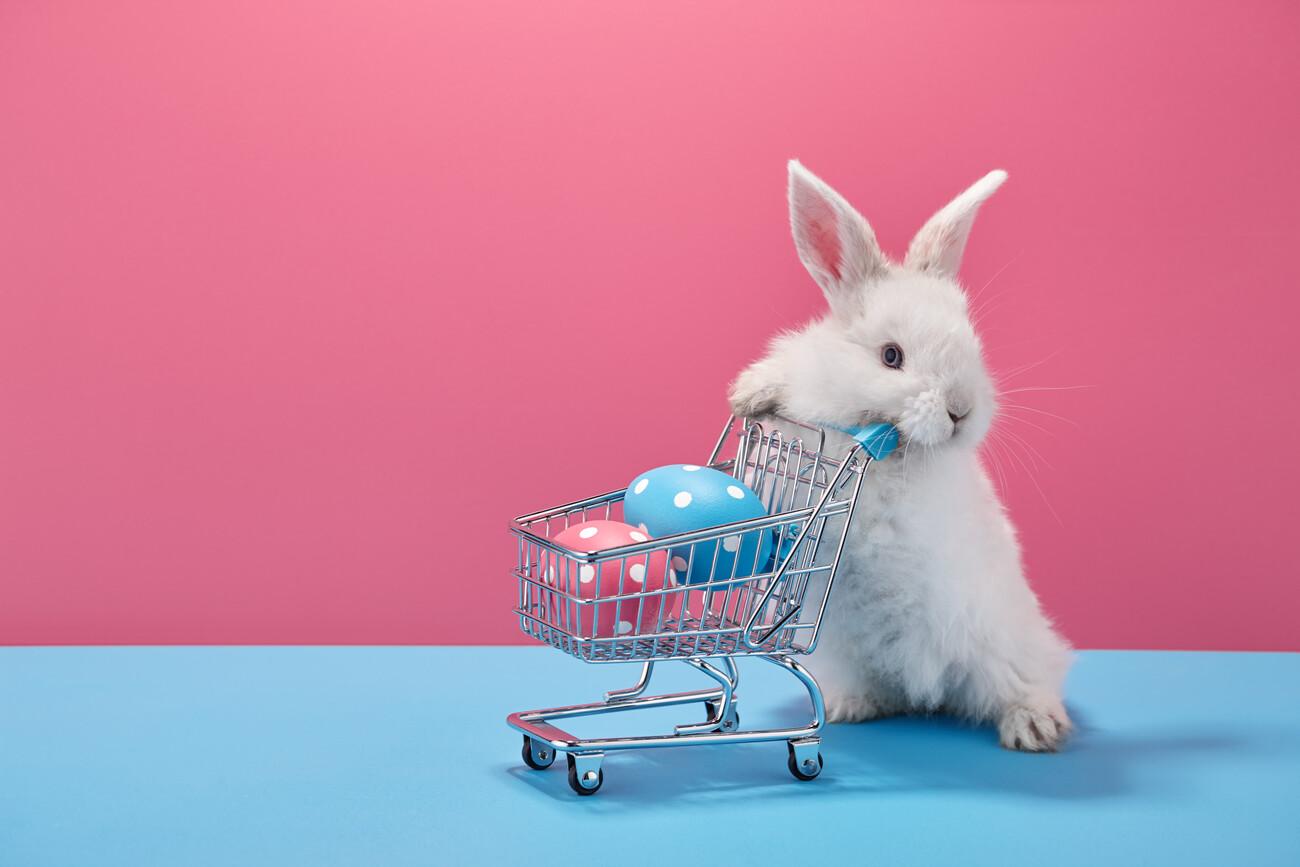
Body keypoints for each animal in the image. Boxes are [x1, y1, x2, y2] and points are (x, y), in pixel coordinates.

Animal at [733, 162, 1076, 753]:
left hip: (1002, 644)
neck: (892, 447)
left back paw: (1036, 728)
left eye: (973, 347)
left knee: (1023, 683)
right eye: (891, 356)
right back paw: (850, 704)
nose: (961, 411)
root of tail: (925, 691)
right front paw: (751, 393)